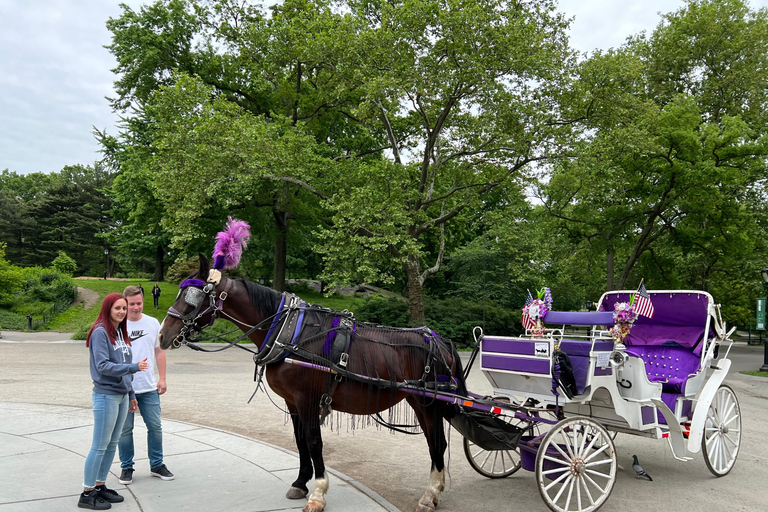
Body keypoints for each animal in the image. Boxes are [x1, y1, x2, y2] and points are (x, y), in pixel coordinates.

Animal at [159, 256, 464, 512]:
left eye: (193, 298)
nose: (163, 336)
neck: (289, 332)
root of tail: (439, 340)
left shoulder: (308, 397)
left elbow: (314, 441)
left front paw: (318, 493)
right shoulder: (292, 401)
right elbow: (300, 440)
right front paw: (300, 483)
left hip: (429, 403)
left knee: (438, 443)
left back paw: (429, 495)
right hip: (419, 402)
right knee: (433, 442)